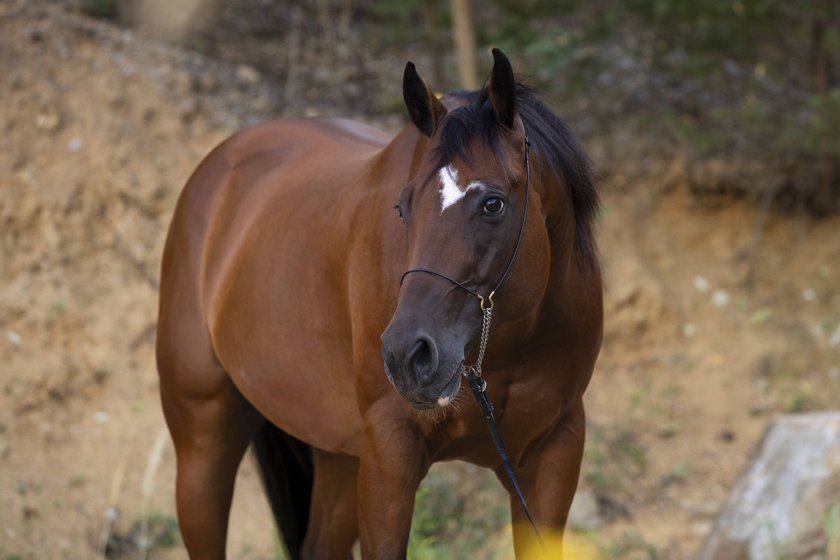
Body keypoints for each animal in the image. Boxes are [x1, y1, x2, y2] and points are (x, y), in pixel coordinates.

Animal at [156, 48, 602, 559]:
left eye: (493, 203)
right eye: (403, 207)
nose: (408, 356)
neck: (512, 349)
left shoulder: (553, 454)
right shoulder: (390, 452)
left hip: (338, 454)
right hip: (202, 439)